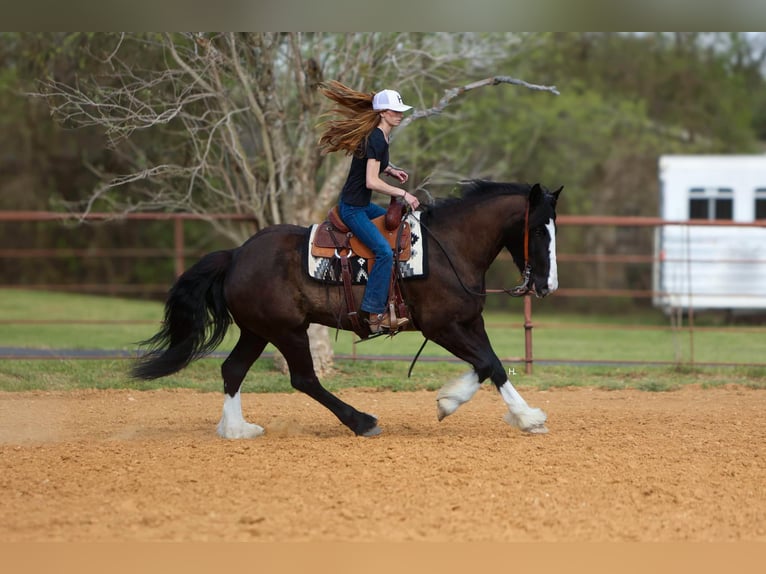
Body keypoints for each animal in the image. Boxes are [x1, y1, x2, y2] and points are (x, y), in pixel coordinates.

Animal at [131, 180, 562, 438]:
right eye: (537, 229)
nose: (548, 285)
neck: (448, 248)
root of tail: (236, 255)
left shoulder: (469, 321)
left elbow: (491, 364)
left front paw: (503, 412)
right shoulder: (441, 327)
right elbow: (487, 364)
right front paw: (504, 413)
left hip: (258, 331)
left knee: (233, 369)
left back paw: (236, 429)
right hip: (287, 331)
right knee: (304, 379)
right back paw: (361, 421)